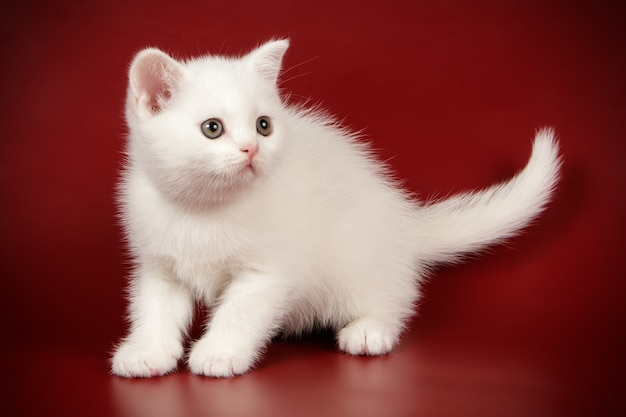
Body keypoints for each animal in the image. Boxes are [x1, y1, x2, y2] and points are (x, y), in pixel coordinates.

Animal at [112, 39, 560, 376]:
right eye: (212, 128)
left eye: (263, 125)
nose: (252, 149)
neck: (204, 208)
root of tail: (405, 223)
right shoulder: (158, 266)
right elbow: (153, 308)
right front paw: (147, 352)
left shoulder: (268, 270)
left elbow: (240, 311)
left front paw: (220, 353)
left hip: (358, 254)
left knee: (394, 297)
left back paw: (370, 330)